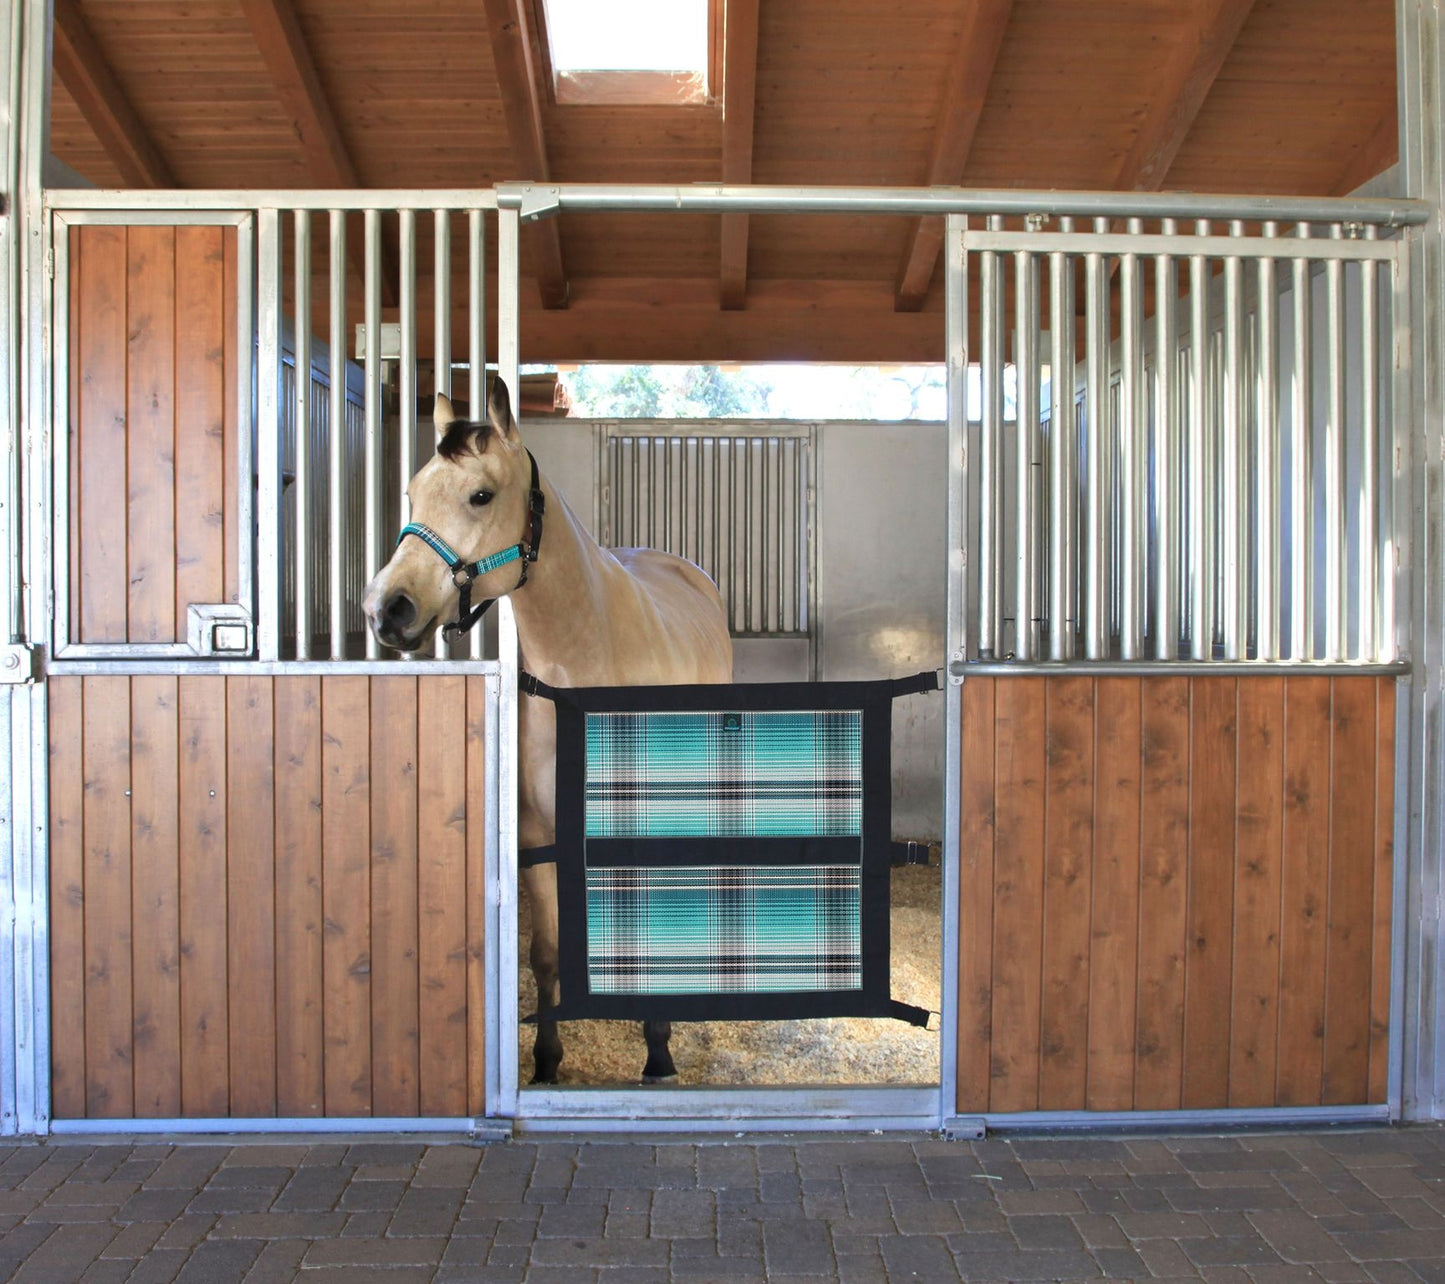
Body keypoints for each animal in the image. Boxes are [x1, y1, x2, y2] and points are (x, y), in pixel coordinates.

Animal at [361, 372, 734, 1080]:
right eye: (413, 491)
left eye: (481, 494)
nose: (385, 609)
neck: (584, 668)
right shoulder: (539, 833)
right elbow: (548, 952)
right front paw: (546, 1058)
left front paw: (658, 1052)